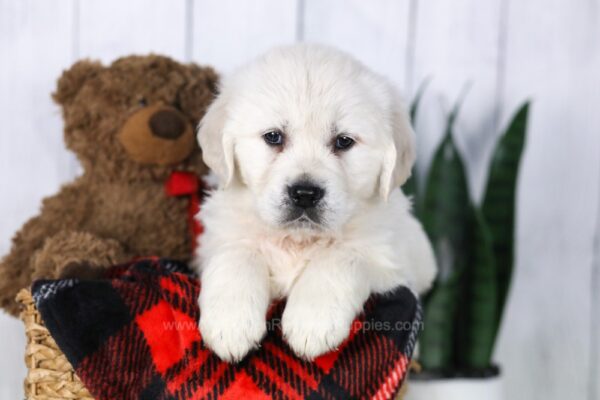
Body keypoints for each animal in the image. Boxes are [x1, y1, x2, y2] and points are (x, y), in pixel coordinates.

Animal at [197, 43, 436, 362]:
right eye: (273, 137)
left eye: (344, 141)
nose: (305, 194)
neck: (298, 241)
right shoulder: (216, 240)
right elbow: (237, 254)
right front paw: (230, 324)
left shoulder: (390, 264)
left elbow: (340, 257)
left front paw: (312, 323)